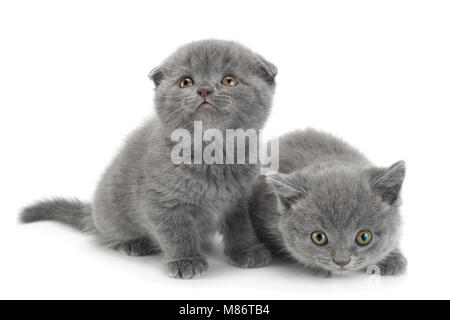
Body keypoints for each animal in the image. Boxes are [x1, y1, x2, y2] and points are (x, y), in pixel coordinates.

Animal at [22, 39, 278, 278]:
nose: (204, 89)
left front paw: (248, 251)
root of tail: (92, 214)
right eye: (186, 82)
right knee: (110, 236)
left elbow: (241, 228)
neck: (212, 152)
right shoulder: (161, 201)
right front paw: (186, 260)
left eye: (229, 80)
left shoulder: (240, 200)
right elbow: (175, 232)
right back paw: (135, 243)